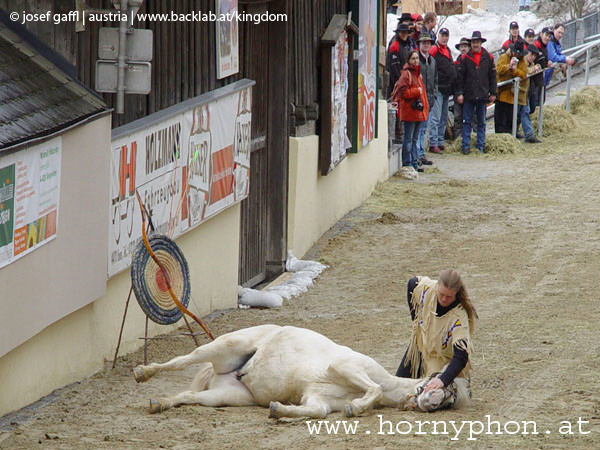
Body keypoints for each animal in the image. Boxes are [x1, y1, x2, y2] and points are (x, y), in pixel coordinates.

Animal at [132, 324, 468, 418]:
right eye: (446, 387)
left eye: (449, 397)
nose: (434, 404)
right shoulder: (345, 366)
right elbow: (371, 389)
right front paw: (357, 407)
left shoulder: (316, 399)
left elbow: (316, 412)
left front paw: (278, 409)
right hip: (224, 347)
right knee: (181, 361)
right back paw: (143, 373)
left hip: (225, 396)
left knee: (189, 396)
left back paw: (159, 403)